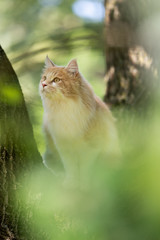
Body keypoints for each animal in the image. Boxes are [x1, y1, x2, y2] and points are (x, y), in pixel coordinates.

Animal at [39, 55, 119, 188]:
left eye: (56, 80)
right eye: (44, 78)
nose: (43, 84)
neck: (64, 110)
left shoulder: (91, 148)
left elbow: (85, 169)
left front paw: (83, 184)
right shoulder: (63, 147)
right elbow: (71, 168)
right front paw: (71, 182)